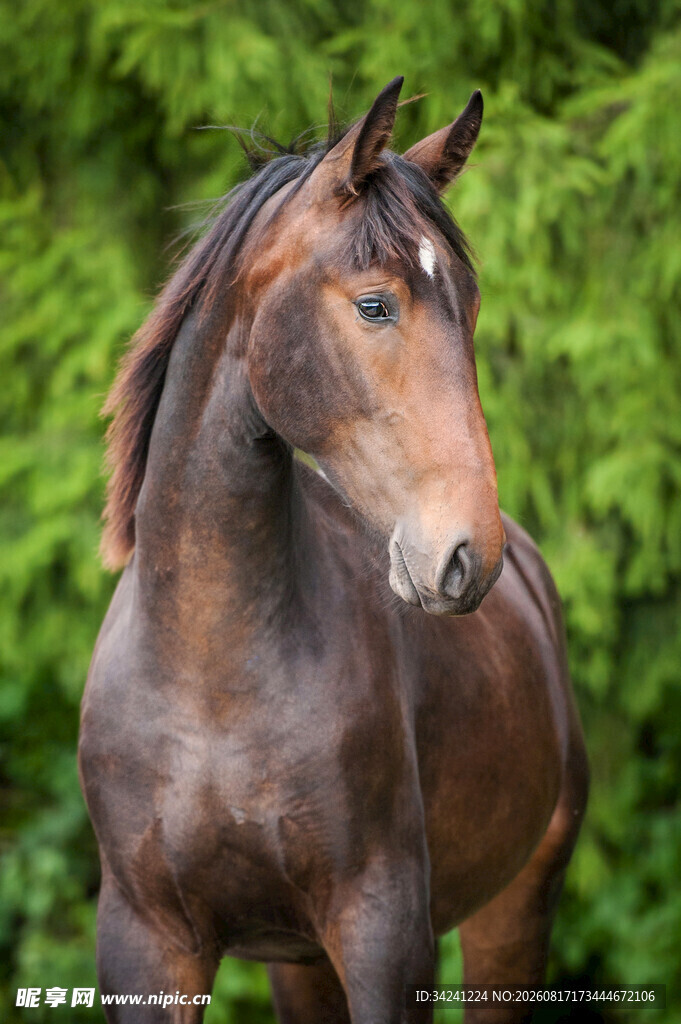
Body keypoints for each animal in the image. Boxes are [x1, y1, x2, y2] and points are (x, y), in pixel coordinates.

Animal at [79, 77, 589, 1023]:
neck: (211, 674)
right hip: (300, 961)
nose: (467, 554)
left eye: (469, 307)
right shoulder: (147, 944)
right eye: (374, 304)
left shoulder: (385, 937)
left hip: (512, 913)